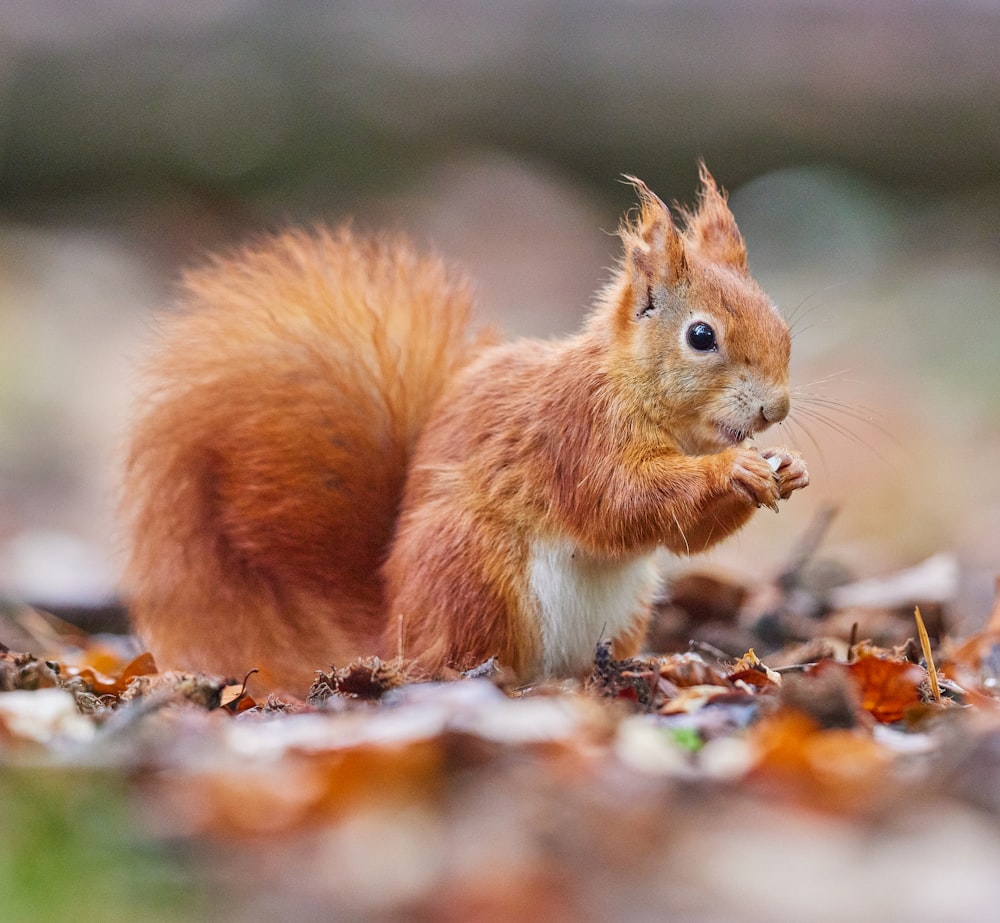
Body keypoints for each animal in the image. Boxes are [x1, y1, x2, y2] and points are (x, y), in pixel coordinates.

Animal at [121, 170, 808, 696]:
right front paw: (734, 470)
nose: (774, 409)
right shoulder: (575, 432)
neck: (637, 391)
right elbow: (621, 499)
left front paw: (788, 469)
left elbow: (680, 534)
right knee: (456, 659)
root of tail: (396, 630)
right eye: (701, 336)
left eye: (781, 325)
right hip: (476, 570)